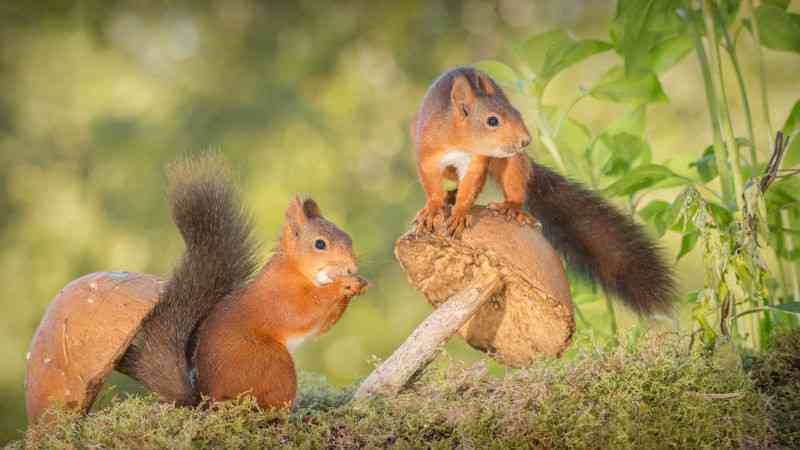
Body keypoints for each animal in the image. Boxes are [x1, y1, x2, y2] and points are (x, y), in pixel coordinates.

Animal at [119, 157, 368, 408]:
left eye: (348, 237)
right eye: (320, 244)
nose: (352, 268)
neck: (296, 269)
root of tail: (207, 398)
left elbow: (322, 326)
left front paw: (358, 284)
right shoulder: (281, 296)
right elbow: (302, 312)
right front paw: (342, 286)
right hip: (271, 363)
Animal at [412, 67, 676, 314]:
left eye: (517, 113)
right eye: (492, 121)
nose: (525, 140)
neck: (460, 140)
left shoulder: (477, 162)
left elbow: (472, 185)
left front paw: (459, 213)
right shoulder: (428, 154)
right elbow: (431, 183)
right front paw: (434, 208)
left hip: (513, 161)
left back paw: (511, 207)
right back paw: (449, 196)